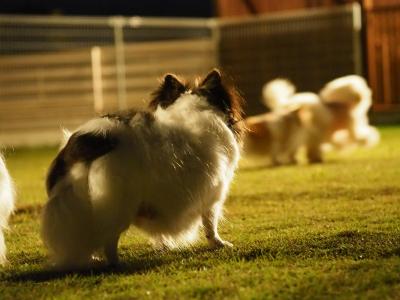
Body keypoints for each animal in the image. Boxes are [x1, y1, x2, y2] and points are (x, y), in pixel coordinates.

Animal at [42, 70, 245, 270]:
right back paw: (116, 263)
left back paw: (92, 259)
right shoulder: (214, 193)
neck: (195, 108)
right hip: (119, 203)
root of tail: (89, 139)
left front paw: (164, 245)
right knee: (108, 238)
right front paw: (218, 244)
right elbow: (210, 223)